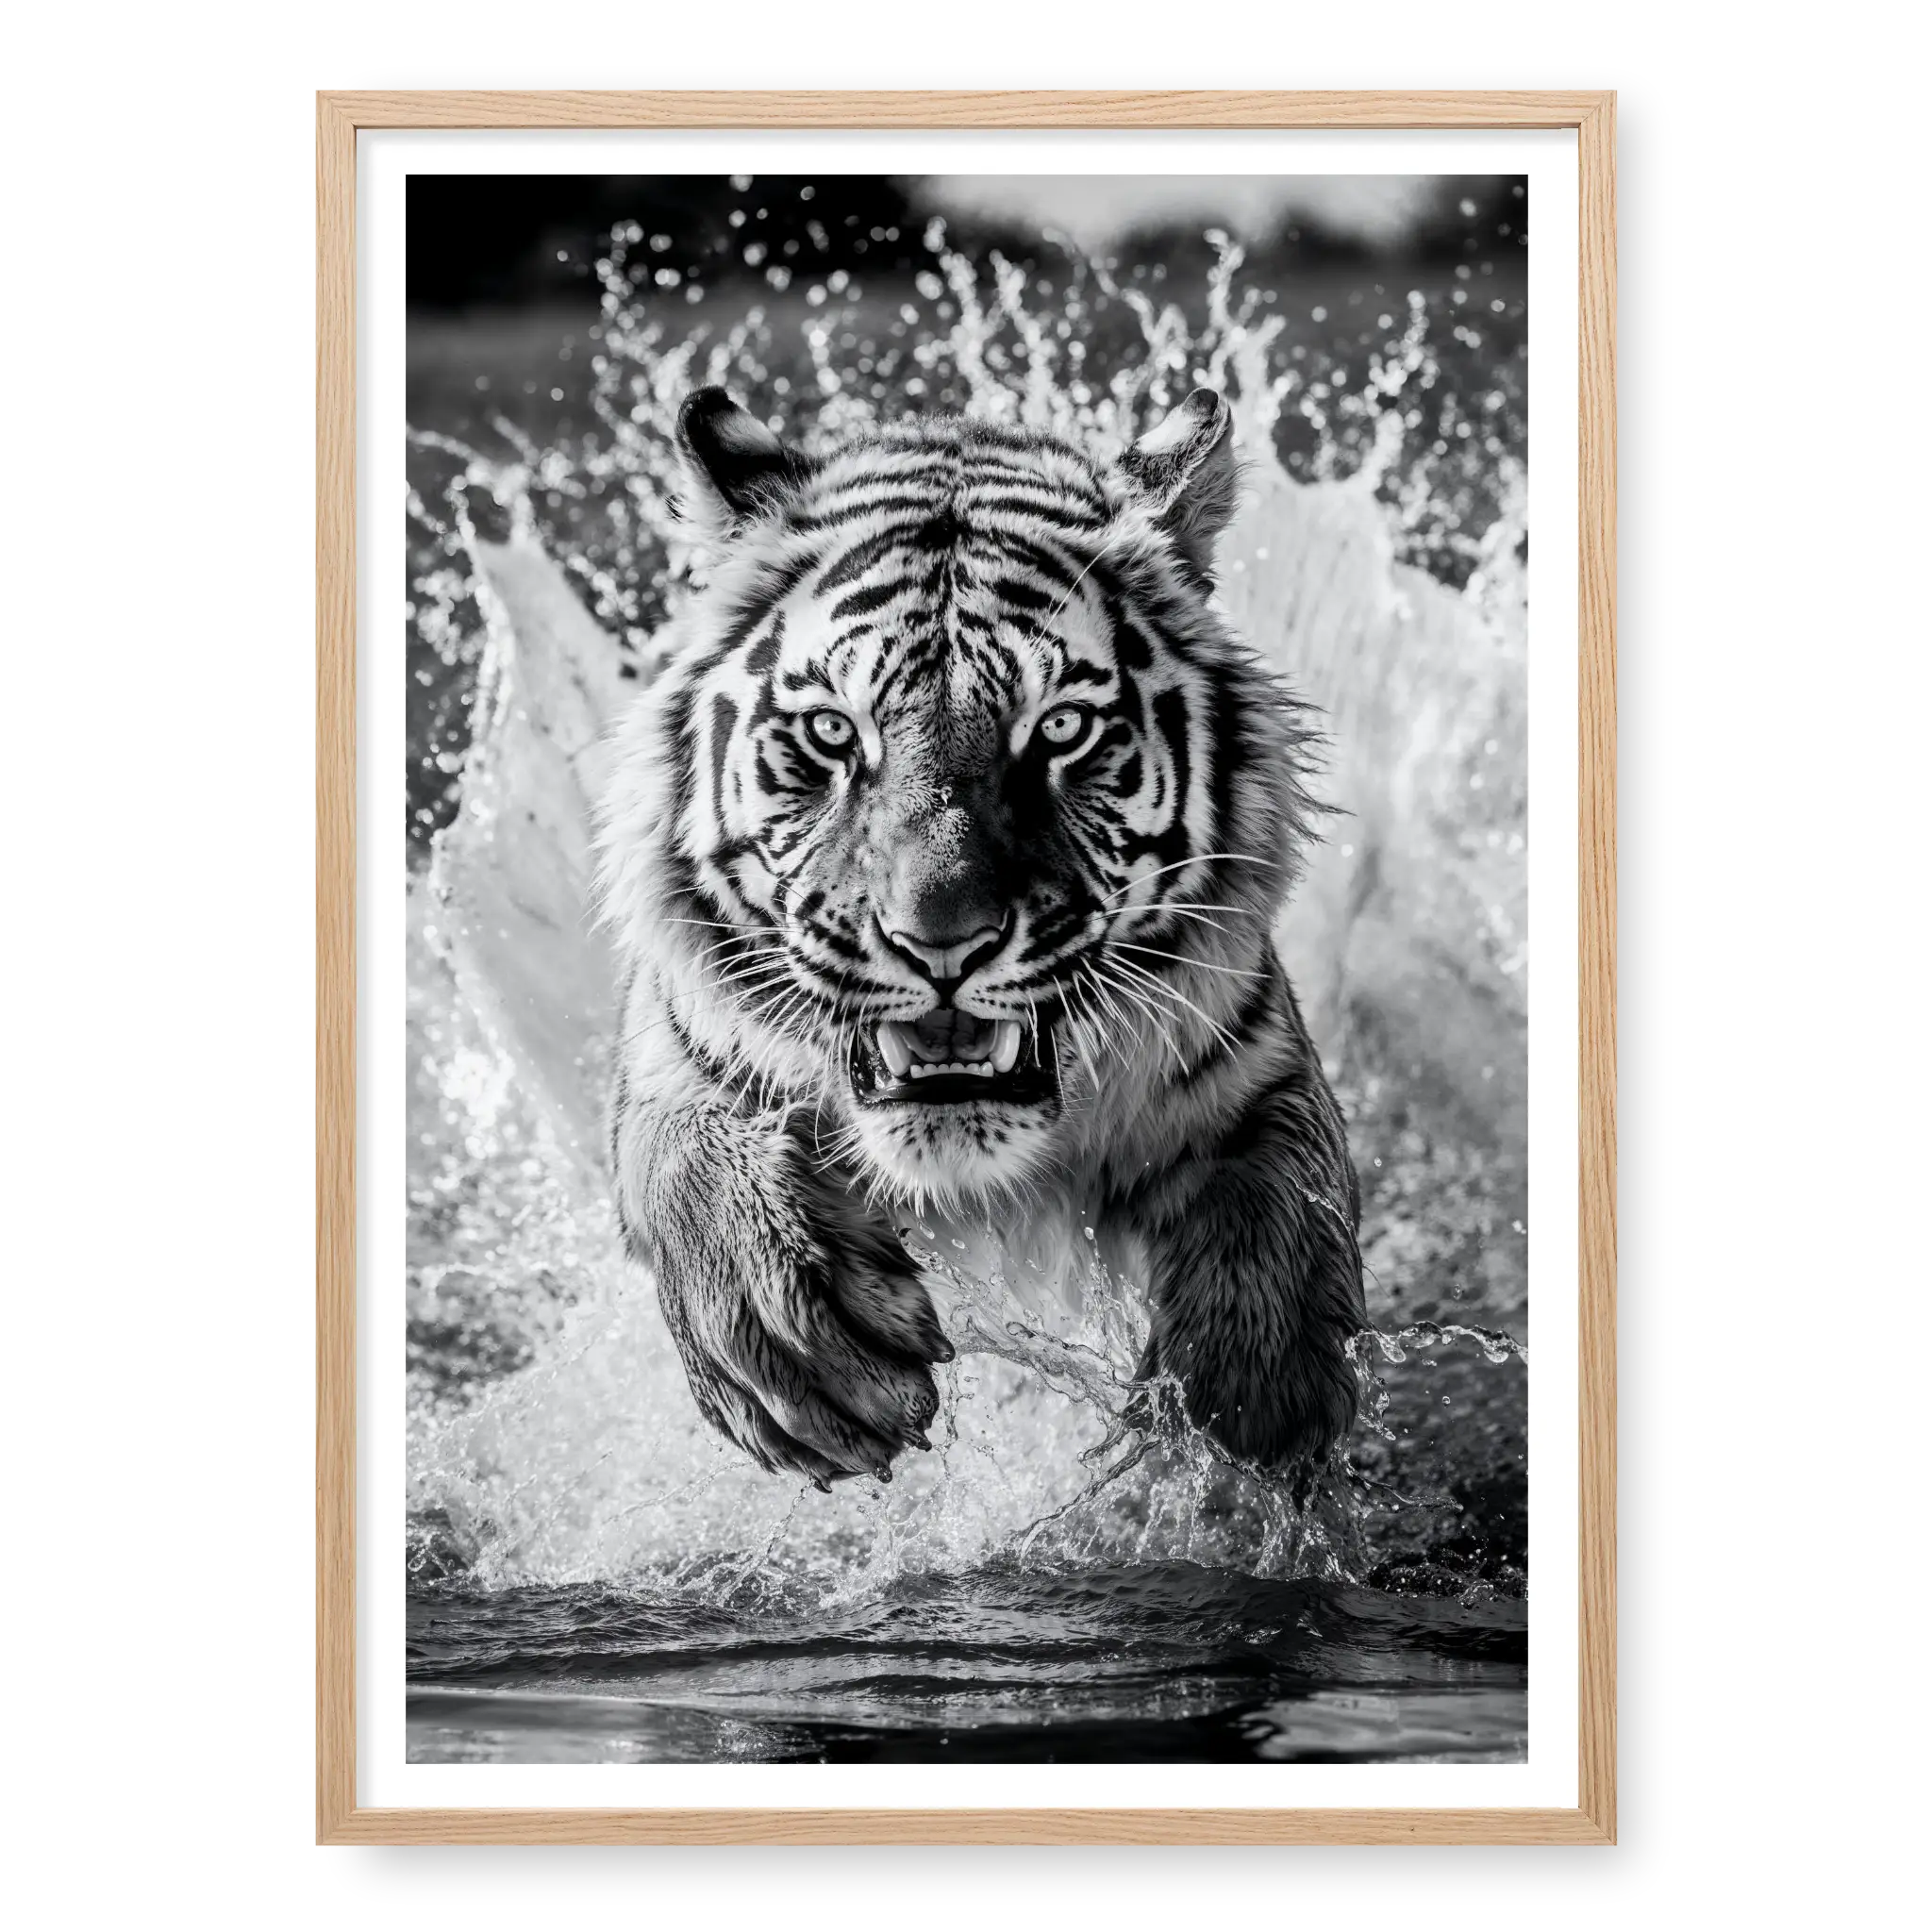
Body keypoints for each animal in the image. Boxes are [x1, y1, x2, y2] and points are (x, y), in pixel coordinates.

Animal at [595, 383, 1366, 1491]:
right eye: (834, 733)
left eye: (1059, 730)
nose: (941, 942)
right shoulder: (679, 1054)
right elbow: (688, 1160)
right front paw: (805, 1349)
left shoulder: (1252, 1062)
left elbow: (1280, 1190)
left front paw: (1243, 1403)